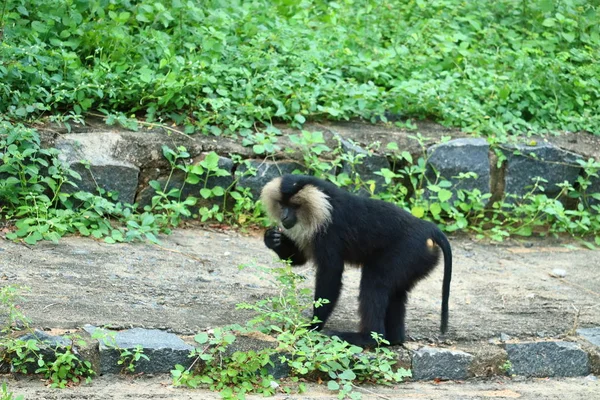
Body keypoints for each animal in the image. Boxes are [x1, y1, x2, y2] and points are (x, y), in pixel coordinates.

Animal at [260, 175, 452, 346]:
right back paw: (393, 340)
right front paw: (273, 239)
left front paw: (314, 326)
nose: (284, 217)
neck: (324, 204)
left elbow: (330, 275)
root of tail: (427, 228)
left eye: (295, 206)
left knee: (373, 284)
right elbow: (299, 259)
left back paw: (367, 339)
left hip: (406, 253)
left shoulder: (329, 233)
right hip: (417, 261)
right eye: (282, 205)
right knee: (397, 292)